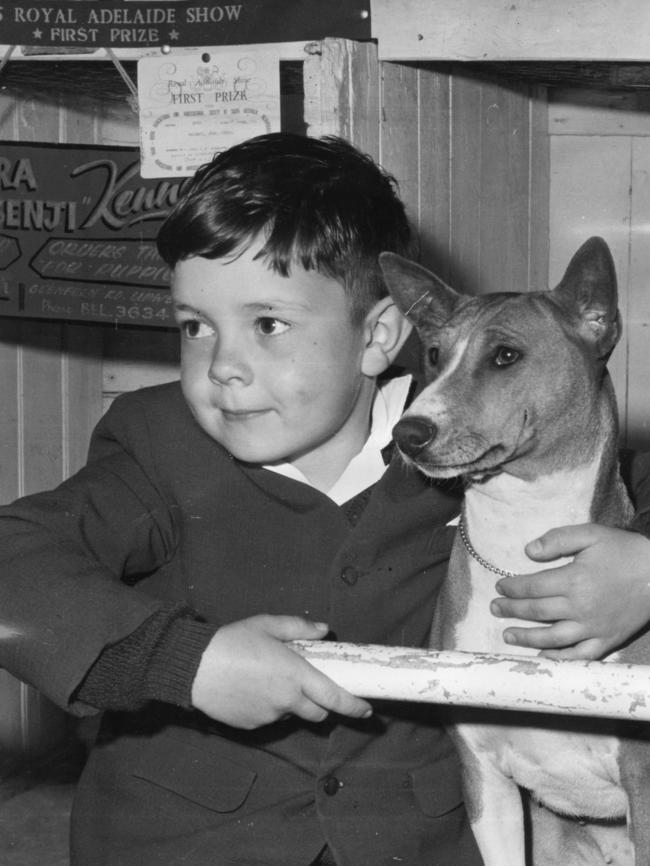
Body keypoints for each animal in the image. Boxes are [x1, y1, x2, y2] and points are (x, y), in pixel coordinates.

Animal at [378, 236, 648, 864]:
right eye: (433, 354)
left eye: (505, 356)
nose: (408, 434)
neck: (520, 549)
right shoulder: (485, 780)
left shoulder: (644, 783)